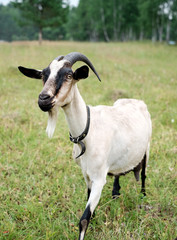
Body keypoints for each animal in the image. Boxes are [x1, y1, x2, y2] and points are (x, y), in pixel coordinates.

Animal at [18, 52, 152, 240]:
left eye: (69, 76)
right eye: (44, 75)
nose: (44, 99)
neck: (88, 130)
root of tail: (137, 101)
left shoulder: (99, 178)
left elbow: (83, 219)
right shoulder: (87, 174)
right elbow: (89, 208)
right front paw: (95, 220)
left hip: (147, 148)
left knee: (145, 175)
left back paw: (143, 197)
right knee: (118, 174)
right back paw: (115, 194)